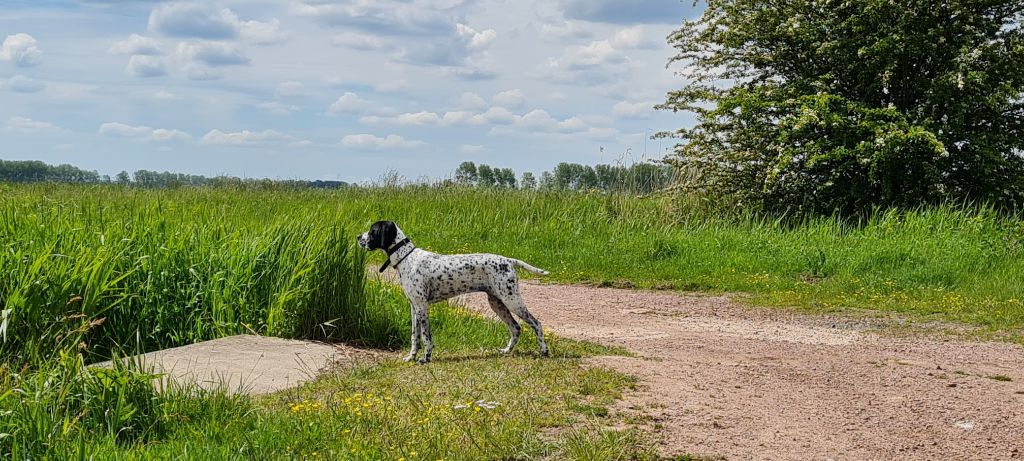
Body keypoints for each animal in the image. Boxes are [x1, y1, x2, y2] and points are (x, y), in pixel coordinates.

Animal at [360, 220, 552, 364]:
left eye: (372, 231)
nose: (358, 237)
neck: (407, 258)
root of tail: (508, 260)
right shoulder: (414, 307)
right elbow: (415, 337)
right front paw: (411, 357)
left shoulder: (422, 307)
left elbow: (426, 337)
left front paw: (426, 358)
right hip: (497, 303)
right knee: (516, 328)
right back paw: (506, 351)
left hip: (512, 300)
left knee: (536, 323)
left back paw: (544, 351)